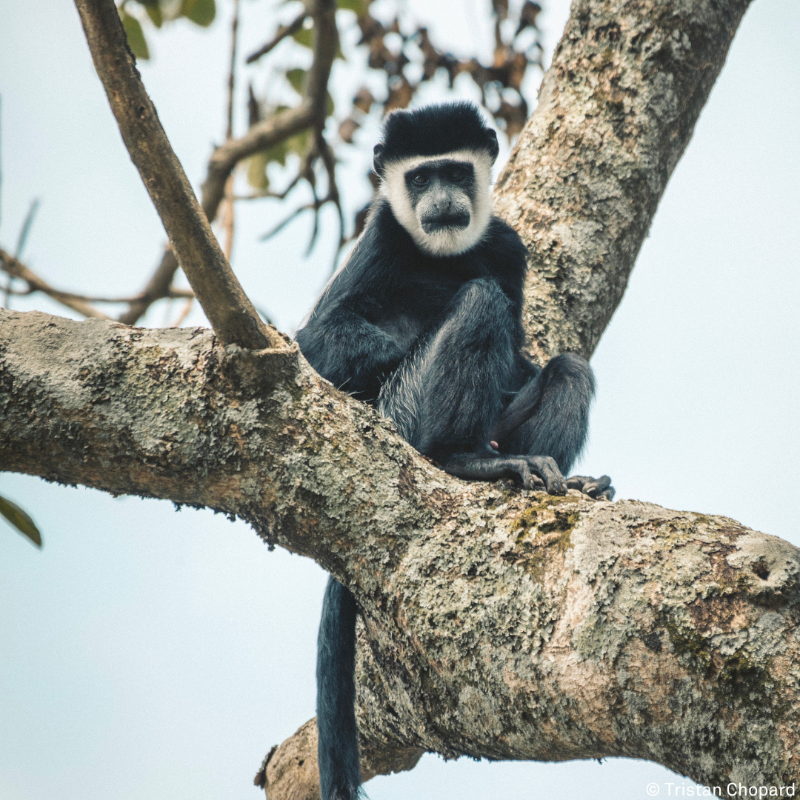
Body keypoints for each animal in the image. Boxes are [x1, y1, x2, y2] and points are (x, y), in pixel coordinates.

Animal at [295, 102, 614, 800]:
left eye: (456, 172)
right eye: (420, 178)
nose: (441, 202)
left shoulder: (508, 247)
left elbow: (527, 347)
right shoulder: (381, 241)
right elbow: (319, 342)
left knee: (568, 368)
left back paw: (543, 473)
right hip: (407, 410)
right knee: (478, 303)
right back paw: (469, 460)